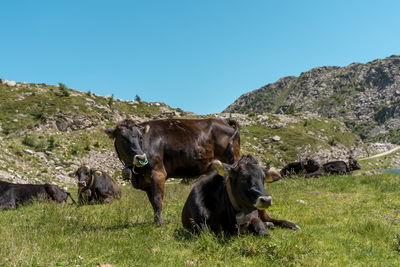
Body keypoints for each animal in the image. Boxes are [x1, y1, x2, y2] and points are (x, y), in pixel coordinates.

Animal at [104, 118, 241, 225]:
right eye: (122, 138)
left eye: (140, 137)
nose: (141, 158)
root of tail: (224, 121)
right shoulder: (147, 182)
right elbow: (152, 202)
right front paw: (155, 221)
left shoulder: (158, 174)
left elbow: (157, 200)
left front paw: (160, 224)